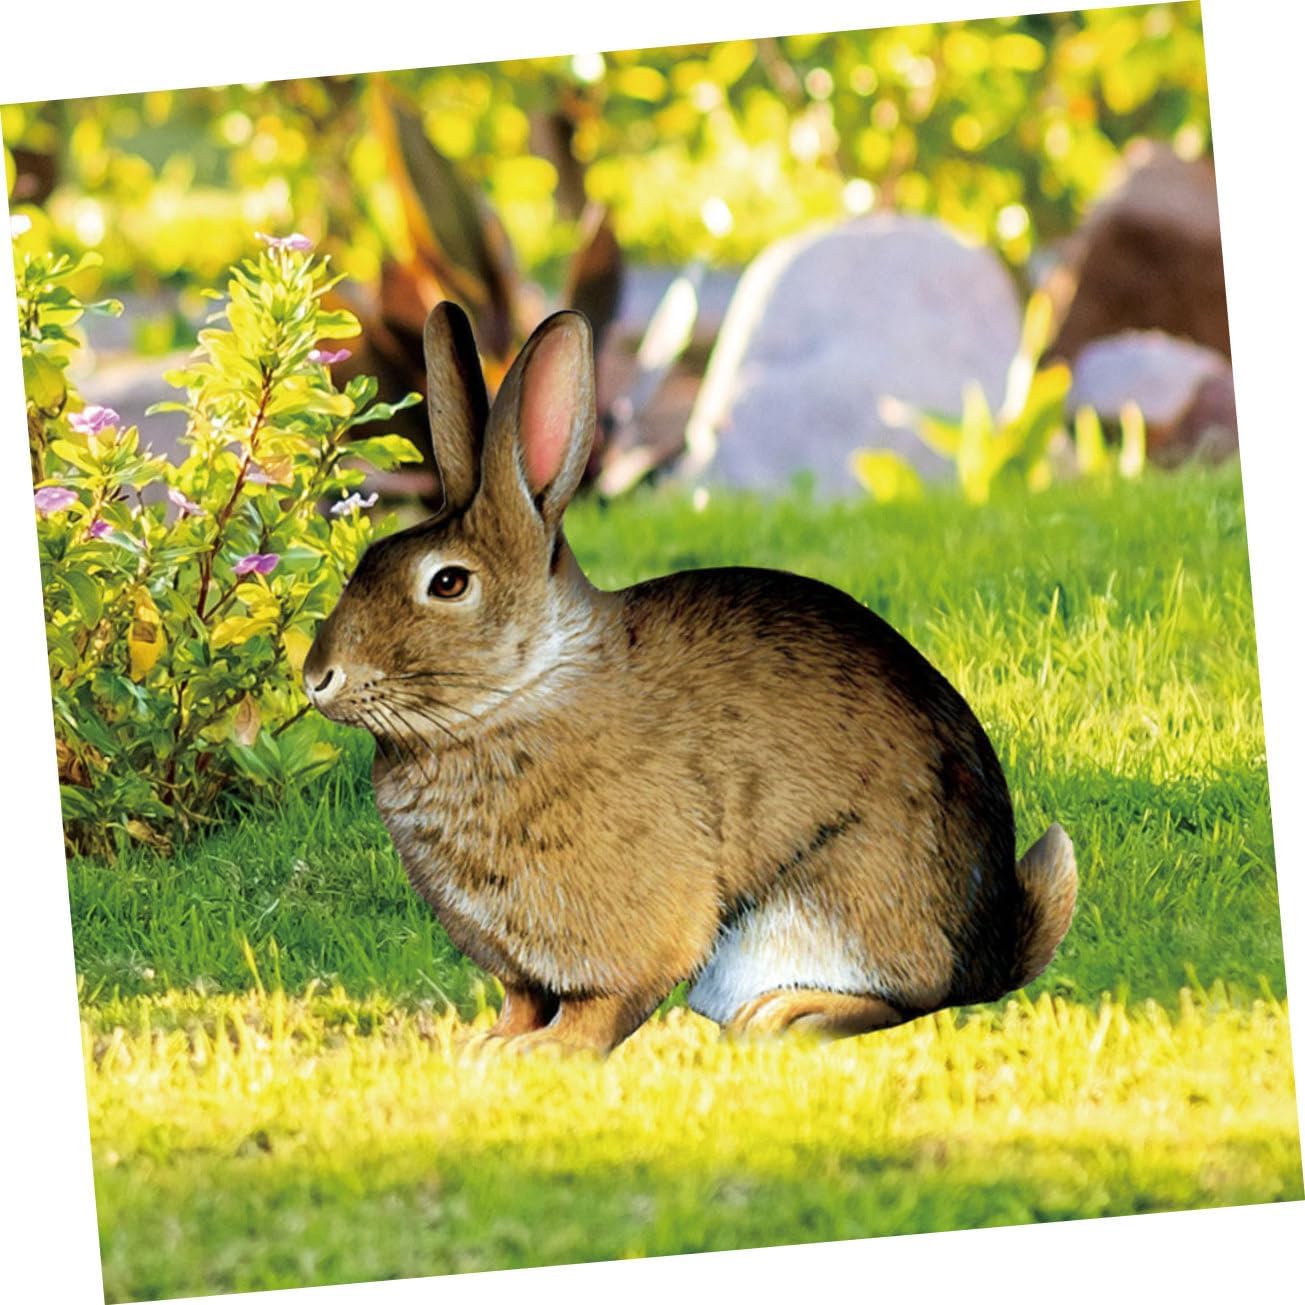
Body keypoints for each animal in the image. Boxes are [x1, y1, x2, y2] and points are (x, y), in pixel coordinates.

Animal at [303, 301, 1078, 1054]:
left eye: (449, 583)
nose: (317, 678)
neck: (525, 688)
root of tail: (992, 949)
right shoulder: (520, 963)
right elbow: (524, 998)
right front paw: (489, 1044)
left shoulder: (632, 925)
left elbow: (605, 1004)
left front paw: (546, 1053)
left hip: (829, 903)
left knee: (909, 995)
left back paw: (786, 1016)